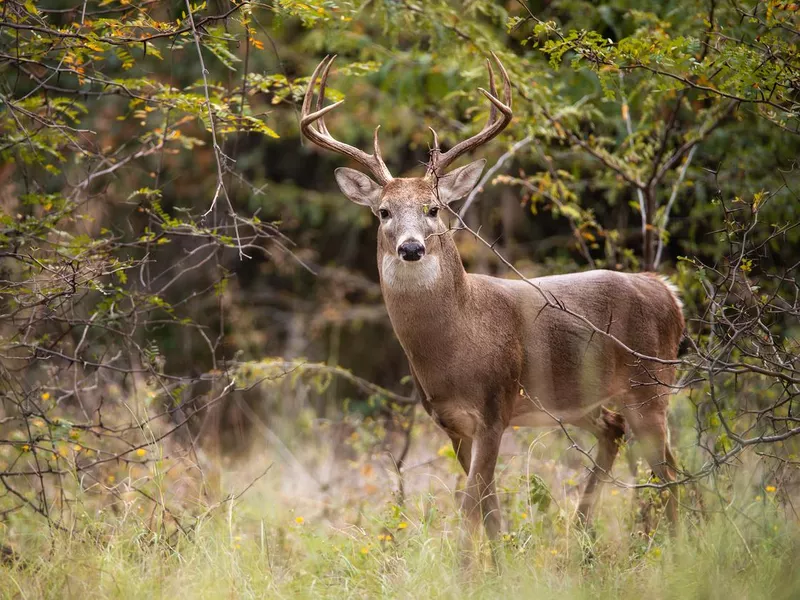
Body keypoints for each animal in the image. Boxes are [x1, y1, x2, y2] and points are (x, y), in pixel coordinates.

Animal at [300, 56, 680, 552]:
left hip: (651, 385)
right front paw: (500, 561)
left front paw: (467, 565)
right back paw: (583, 534)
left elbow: (469, 507)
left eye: (434, 208)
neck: (459, 340)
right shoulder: (450, 420)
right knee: (621, 436)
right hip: (583, 401)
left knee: (670, 476)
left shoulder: (495, 406)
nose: (410, 248)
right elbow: (488, 507)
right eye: (383, 212)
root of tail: (667, 291)